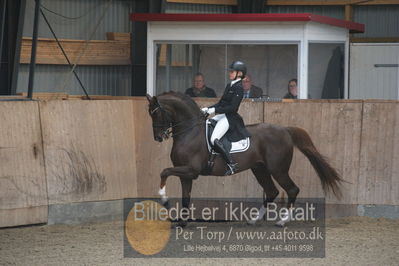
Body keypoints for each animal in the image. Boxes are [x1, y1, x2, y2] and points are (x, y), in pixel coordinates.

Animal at [147, 91, 344, 227]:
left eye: (156, 113)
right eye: (150, 114)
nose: (158, 138)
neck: (190, 132)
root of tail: (285, 130)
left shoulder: (191, 170)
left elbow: (164, 172)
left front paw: (163, 198)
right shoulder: (186, 174)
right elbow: (185, 197)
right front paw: (181, 222)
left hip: (278, 169)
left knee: (292, 190)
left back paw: (282, 221)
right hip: (260, 169)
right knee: (271, 191)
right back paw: (254, 220)